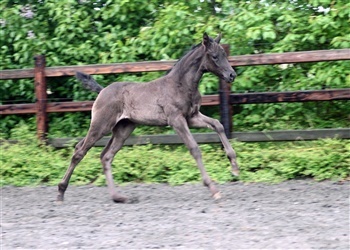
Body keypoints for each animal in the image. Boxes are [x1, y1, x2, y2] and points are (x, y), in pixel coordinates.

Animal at [56, 32, 238, 203]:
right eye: (214, 56)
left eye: (224, 54)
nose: (232, 75)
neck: (181, 85)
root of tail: (102, 91)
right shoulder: (176, 120)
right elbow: (194, 148)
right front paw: (213, 188)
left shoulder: (192, 117)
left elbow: (218, 124)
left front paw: (234, 167)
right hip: (101, 126)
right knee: (80, 151)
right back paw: (60, 192)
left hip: (123, 129)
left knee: (105, 156)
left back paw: (119, 197)